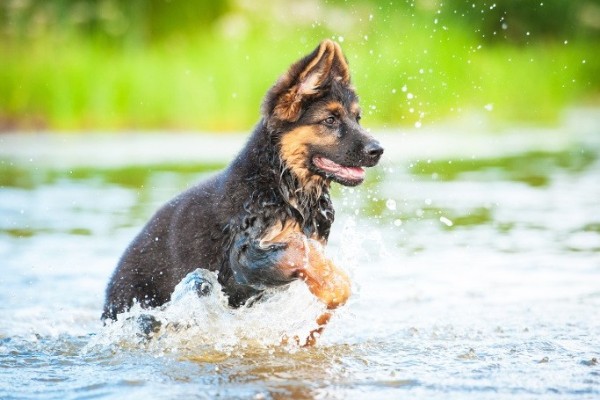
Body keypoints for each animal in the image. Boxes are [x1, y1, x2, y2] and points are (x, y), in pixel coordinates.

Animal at [102, 39, 384, 340]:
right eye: (330, 120)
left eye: (357, 118)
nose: (378, 150)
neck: (279, 182)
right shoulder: (245, 255)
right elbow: (298, 248)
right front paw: (332, 285)